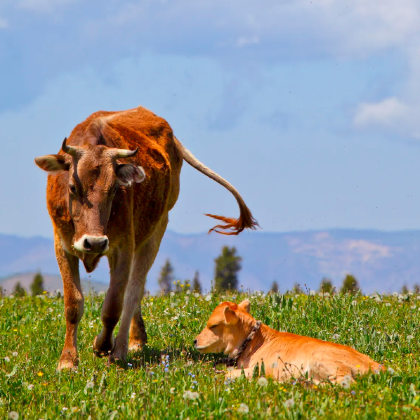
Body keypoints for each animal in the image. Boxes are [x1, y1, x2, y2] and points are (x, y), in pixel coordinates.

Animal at [35, 106, 260, 370]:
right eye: (72, 187)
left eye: (114, 189)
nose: (95, 242)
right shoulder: (63, 245)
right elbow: (73, 304)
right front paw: (68, 360)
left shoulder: (123, 247)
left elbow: (113, 305)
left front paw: (102, 345)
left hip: (155, 231)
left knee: (133, 291)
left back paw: (122, 349)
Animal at [194, 298, 384, 384]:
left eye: (214, 325)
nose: (195, 341)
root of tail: (376, 366)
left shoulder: (261, 369)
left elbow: (227, 374)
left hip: (325, 363)